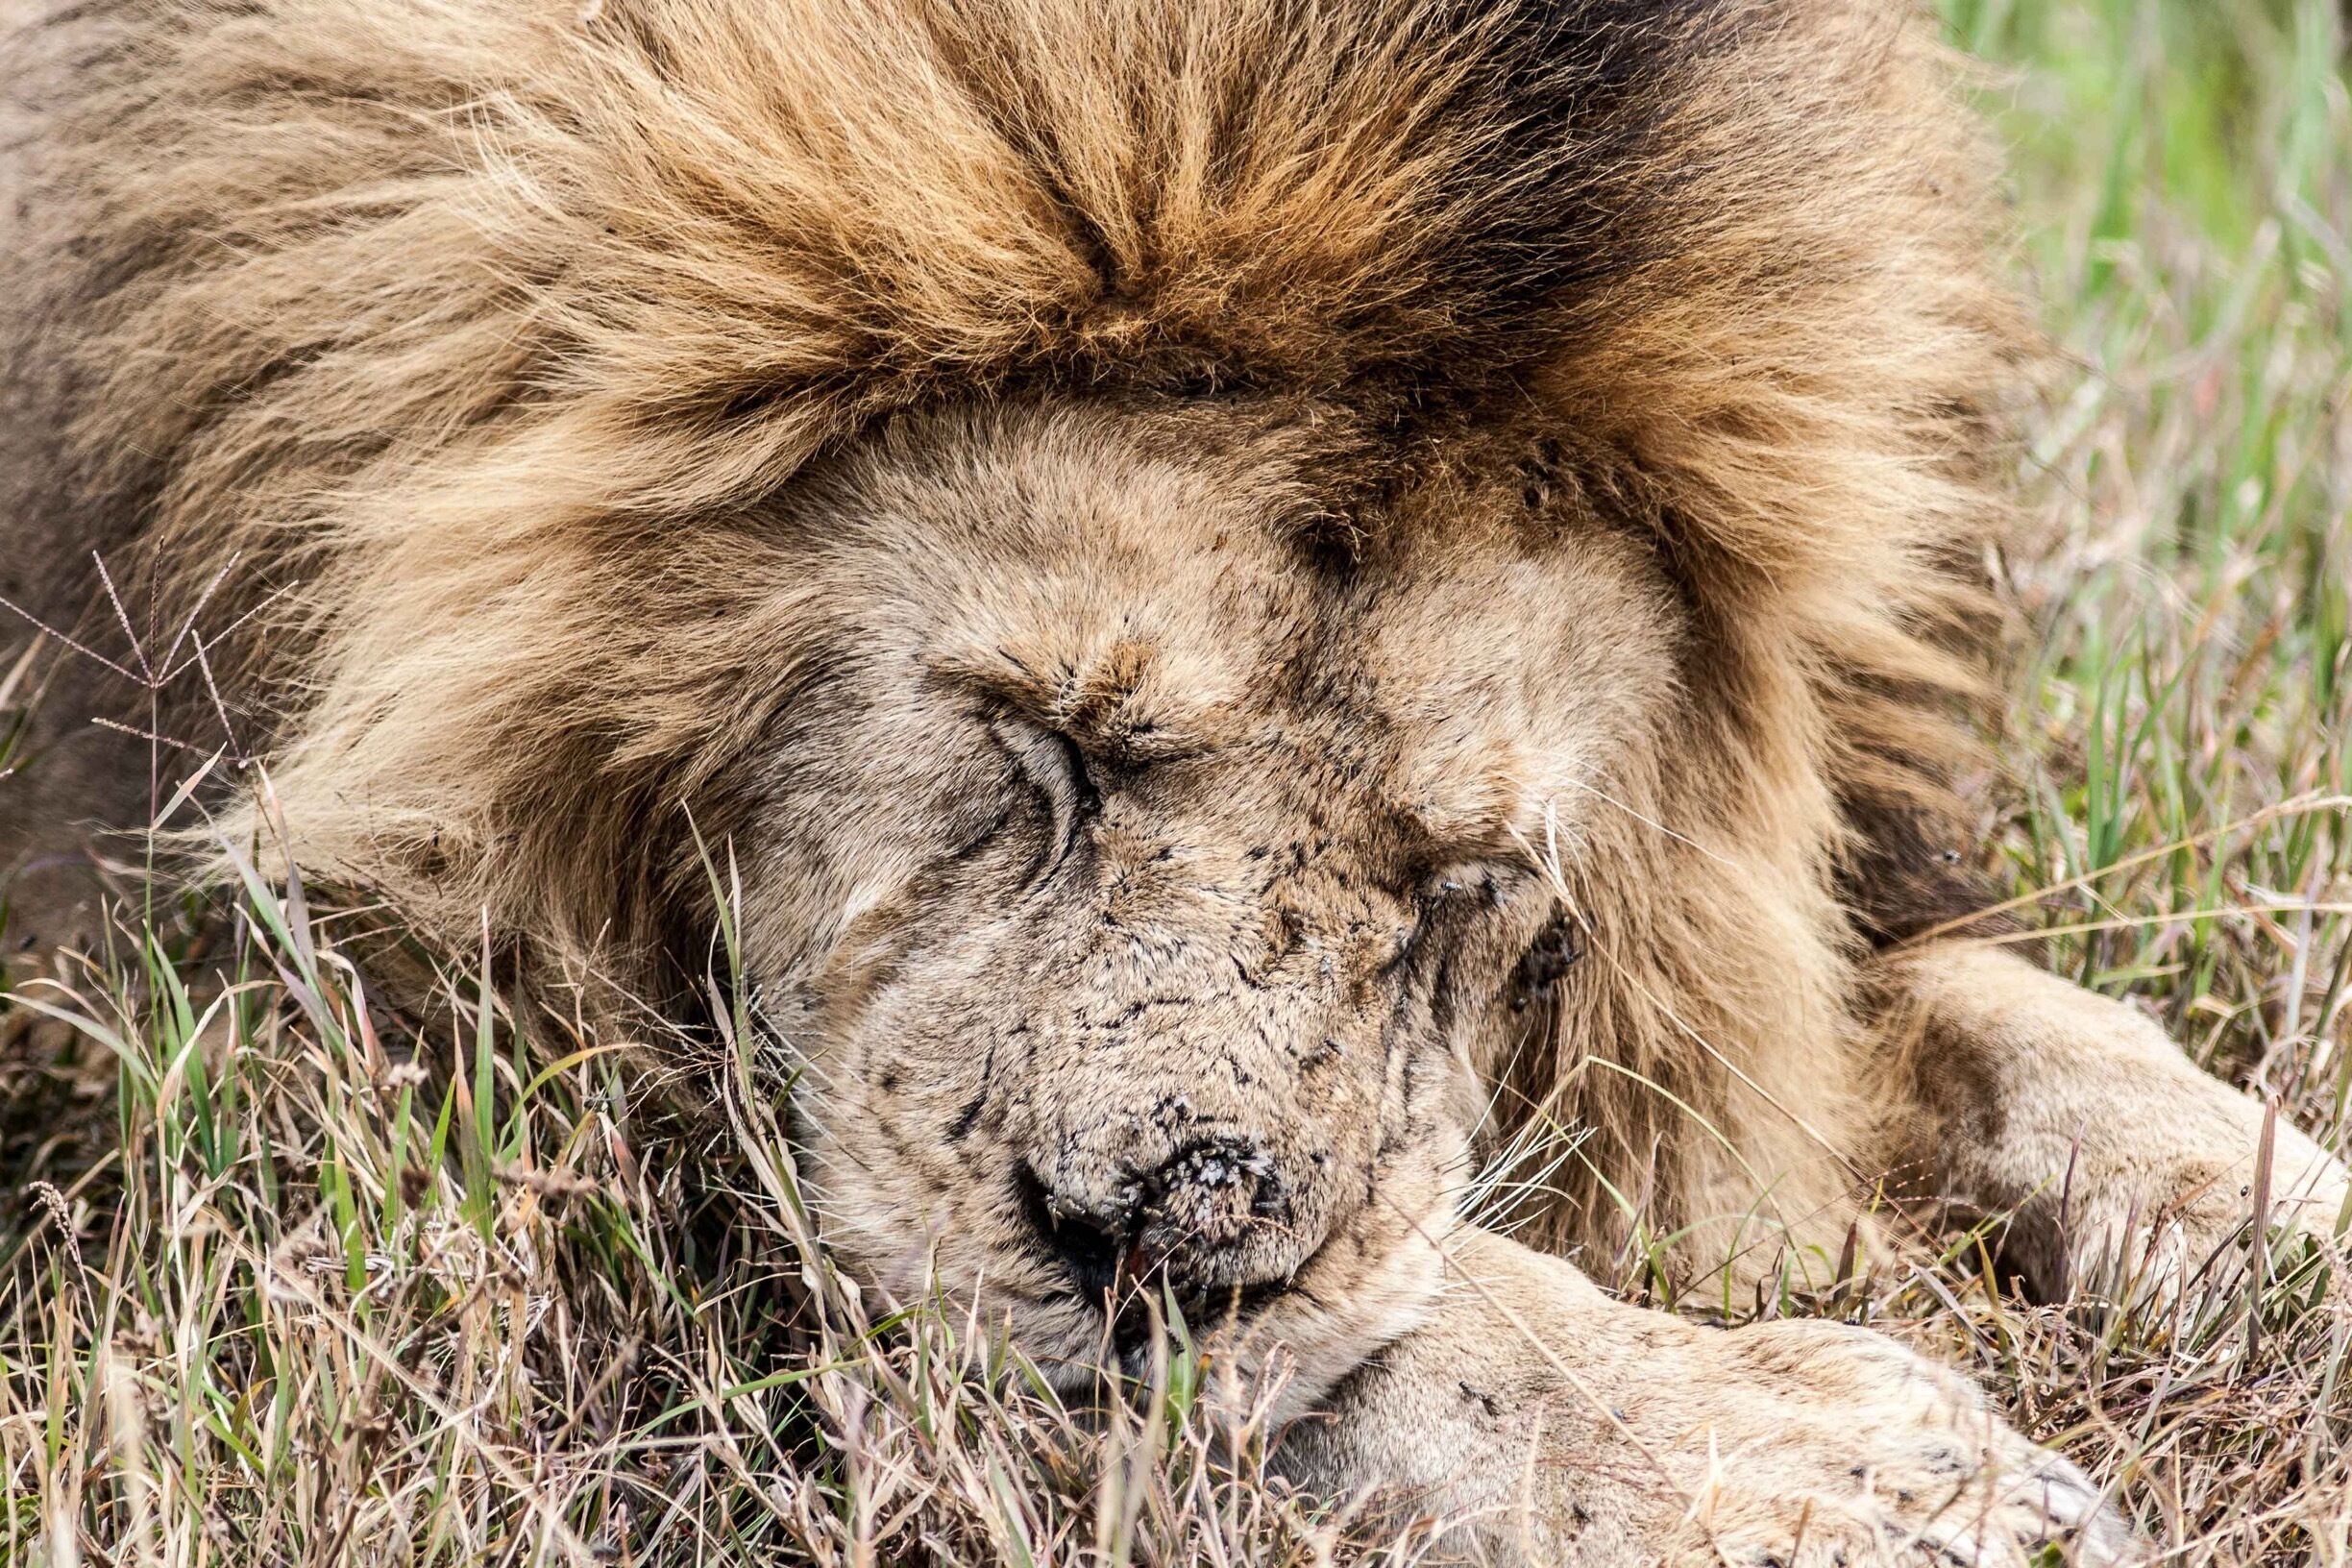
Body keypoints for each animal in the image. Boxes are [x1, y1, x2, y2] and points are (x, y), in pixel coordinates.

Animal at [3, 0, 2343, 1559]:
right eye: (1043, 743)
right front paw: (1829, 1458)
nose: (1160, 1255)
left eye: (1468, 881)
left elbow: (1999, 1018)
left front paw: (2271, 1212)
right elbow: (1417, 1314)